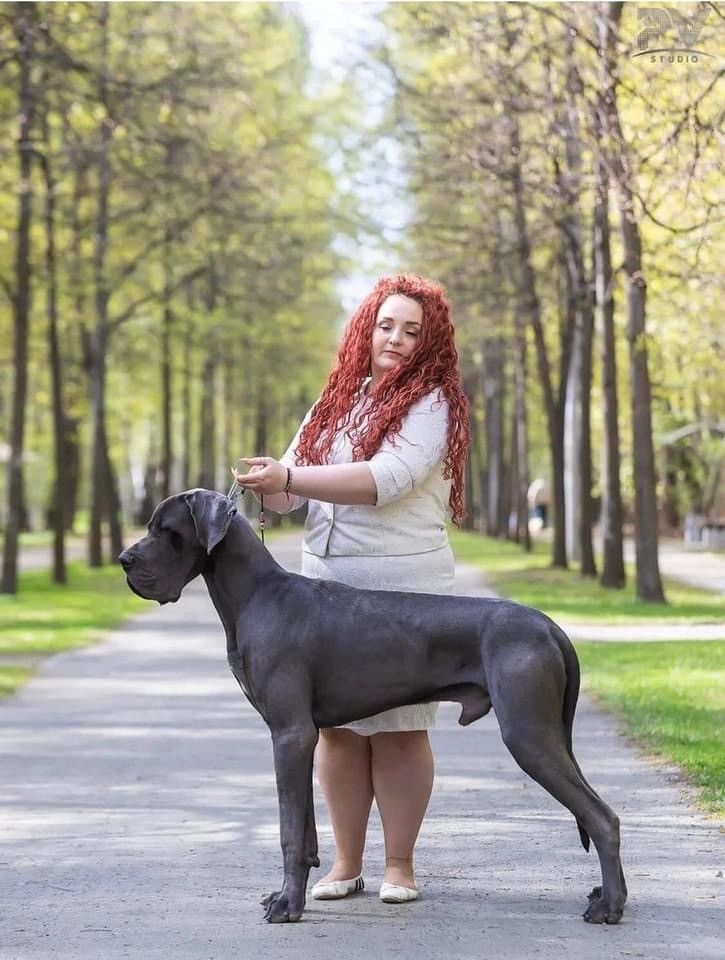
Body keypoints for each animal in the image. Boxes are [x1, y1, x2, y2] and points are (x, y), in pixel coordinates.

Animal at [119, 489, 627, 924]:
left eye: (166, 529)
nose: (124, 559)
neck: (255, 595)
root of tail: (549, 625)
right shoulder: (301, 738)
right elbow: (305, 829)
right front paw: (290, 894)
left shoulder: (289, 734)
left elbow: (287, 832)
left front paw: (287, 906)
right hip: (547, 733)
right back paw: (606, 896)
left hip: (528, 734)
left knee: (602, 817)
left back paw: (610, 907)